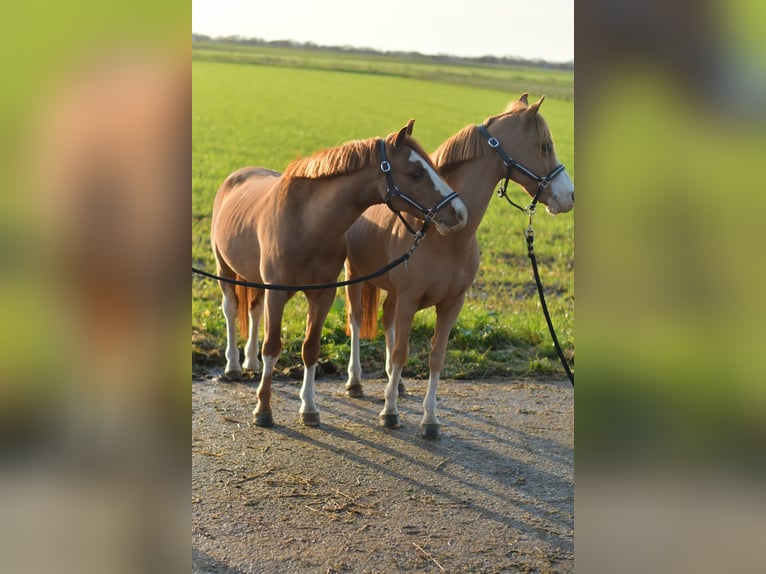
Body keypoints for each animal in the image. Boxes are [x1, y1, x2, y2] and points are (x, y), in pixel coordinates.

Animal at [210, 120, 468, 428]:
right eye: (415, 173)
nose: (460, 213)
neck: (306, 224)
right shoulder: (278, 294)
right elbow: (272, 347)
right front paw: (263, 408)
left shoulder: (323, 295)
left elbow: (310, 349)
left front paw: (309, 408)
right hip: (224, 269)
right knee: (231, 309)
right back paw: (234, 366)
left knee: (254, 308)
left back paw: (249, 361)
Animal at [343, 94, 574, 437]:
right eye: (544, 146)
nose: (568, 196)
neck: (443, 236)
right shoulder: (409, 299)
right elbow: (401, 352)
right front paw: (389, 413)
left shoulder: (453, 303)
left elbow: (436, 356)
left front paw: (429, 419)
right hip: (355, 275)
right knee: (357, 321)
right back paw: (356, 382)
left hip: (391, 292)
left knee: (386, 321)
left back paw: (396, 387)